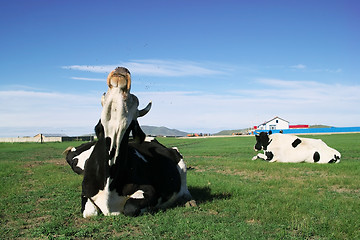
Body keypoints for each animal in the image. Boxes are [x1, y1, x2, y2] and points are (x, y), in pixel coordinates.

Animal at [64, 67, 194, 218]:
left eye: (133, 99)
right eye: (106, 96)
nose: (121, 70)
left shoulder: (150, 190)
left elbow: (130, 207)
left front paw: (151, 208)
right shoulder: (85, 191)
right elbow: (90, 212)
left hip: (181, 164)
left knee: (185, 189)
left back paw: (189, 201)